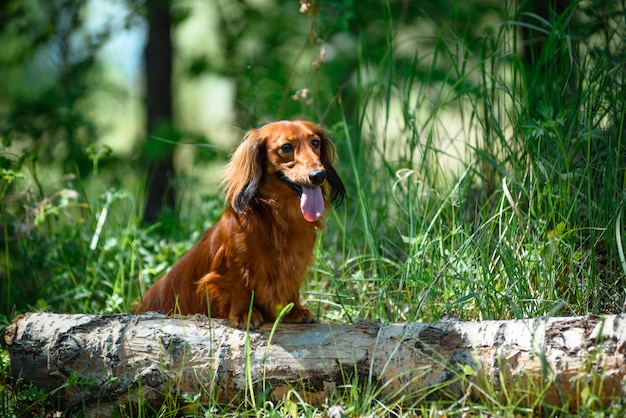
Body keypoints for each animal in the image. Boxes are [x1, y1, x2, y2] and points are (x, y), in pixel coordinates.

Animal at [135, 119, 346, 328]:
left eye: (315, 143)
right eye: (286, 147)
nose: (318, 175)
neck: (278, 218)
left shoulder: (296, 262)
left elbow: (291, 286)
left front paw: (293, 309)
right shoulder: (234, 264)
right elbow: (239, 287)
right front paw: (246, 314)